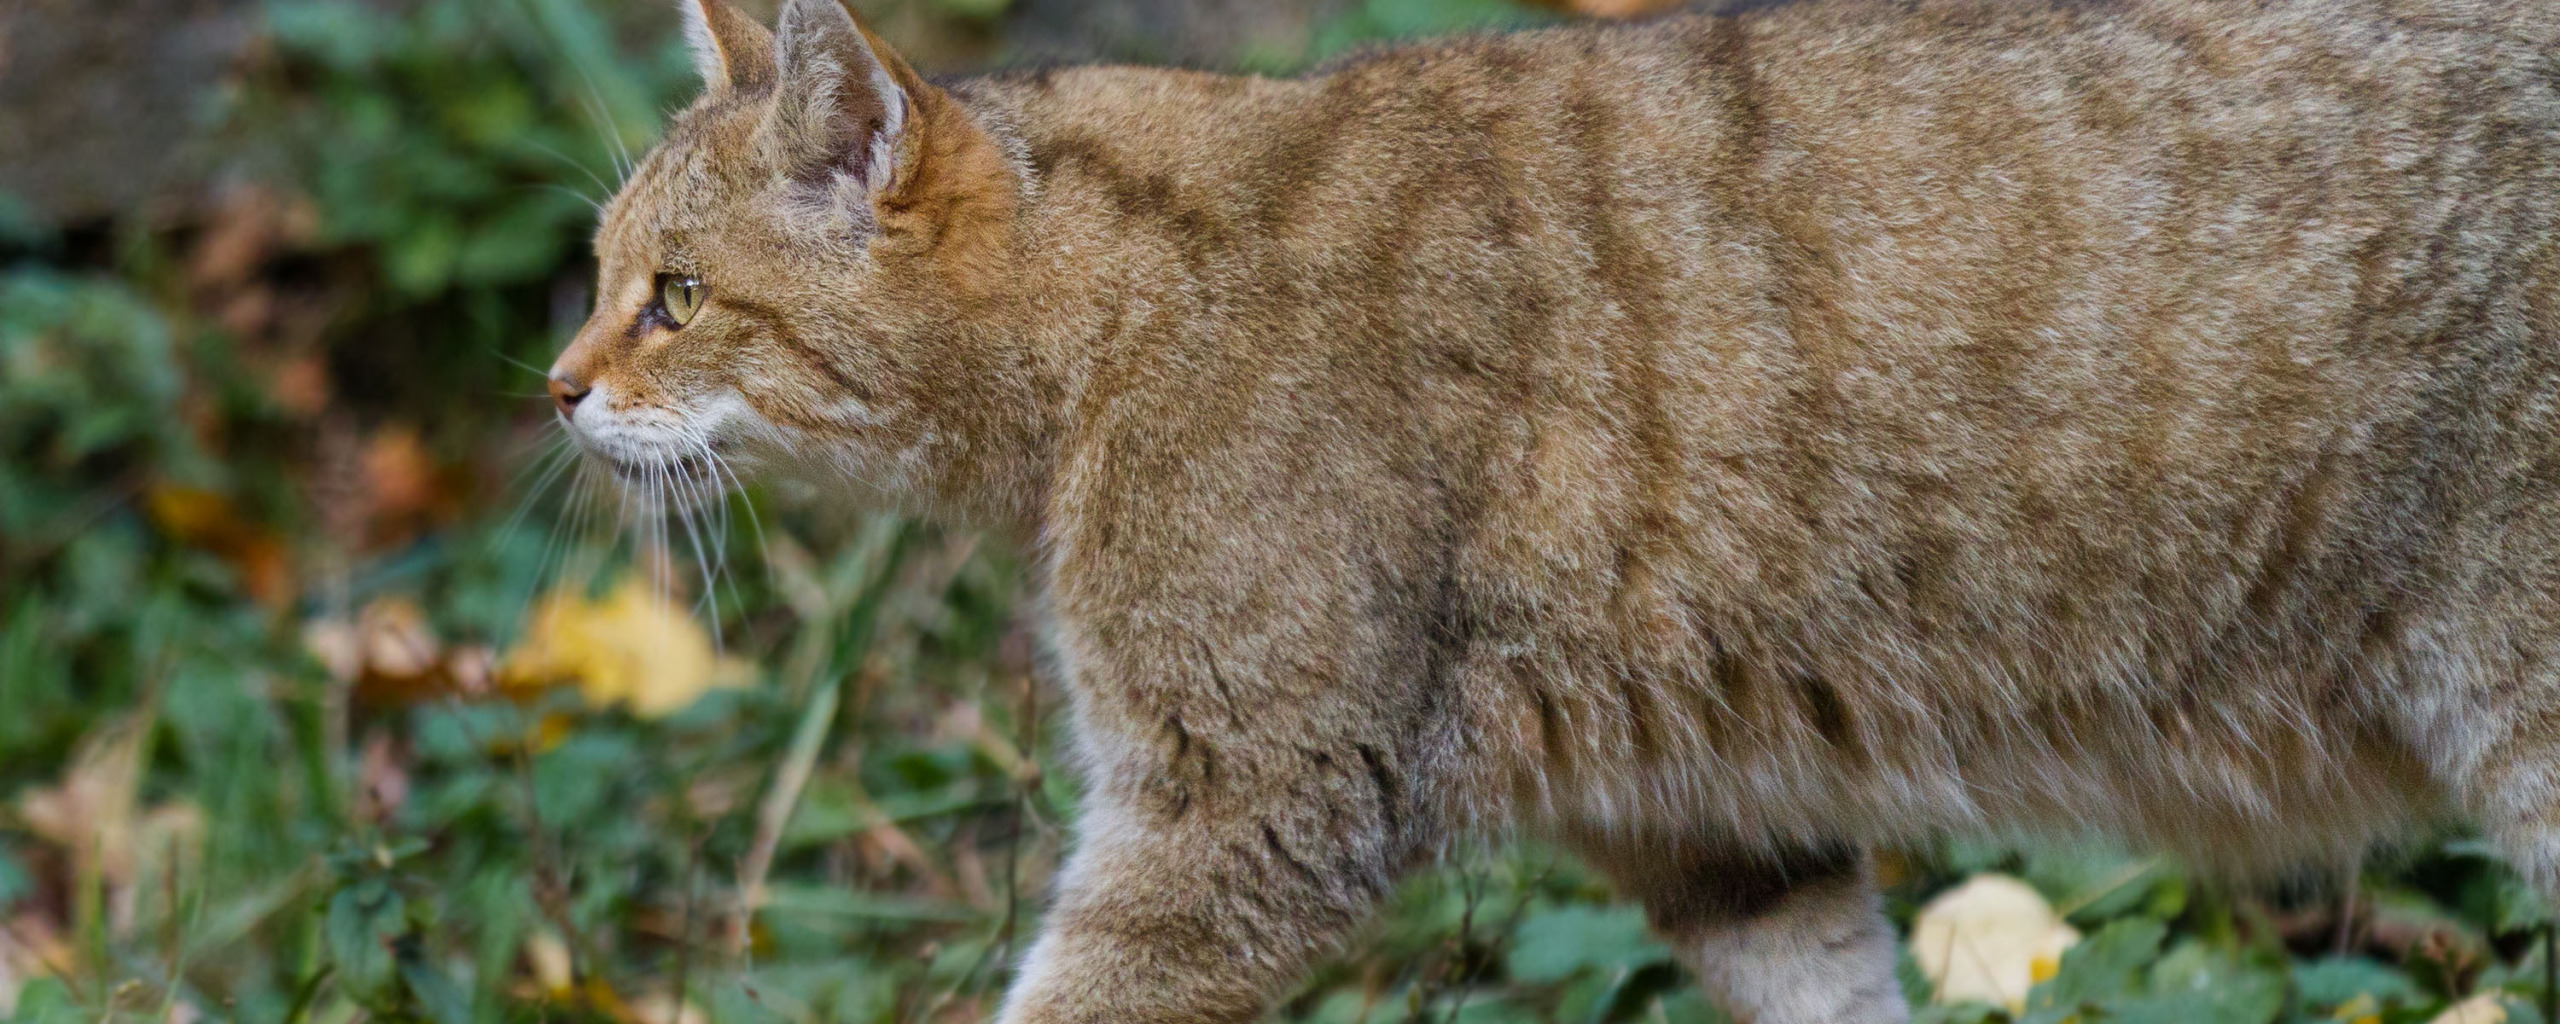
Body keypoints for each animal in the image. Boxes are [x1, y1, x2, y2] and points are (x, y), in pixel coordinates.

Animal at [550, 0, 2560, 1018]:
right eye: (595, 272)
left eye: (677, 295)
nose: (557, 387)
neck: (1111, 320)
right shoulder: (1719, 823)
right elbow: (1831, 990)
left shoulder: (1246, 810)